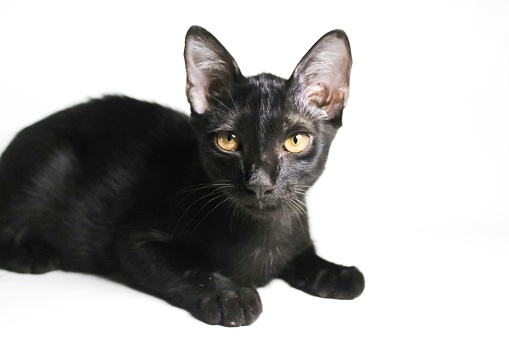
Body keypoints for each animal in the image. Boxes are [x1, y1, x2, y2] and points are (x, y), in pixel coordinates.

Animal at [0, 25, 366, 326]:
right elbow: (190, 267)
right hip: (51, 165)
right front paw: (229, 295)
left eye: (295, 140)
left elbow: (305, 255)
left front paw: (336, 272)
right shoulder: (132, 238)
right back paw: (34, 254)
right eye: (228, 140)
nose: (260, 182)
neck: (262, 232)